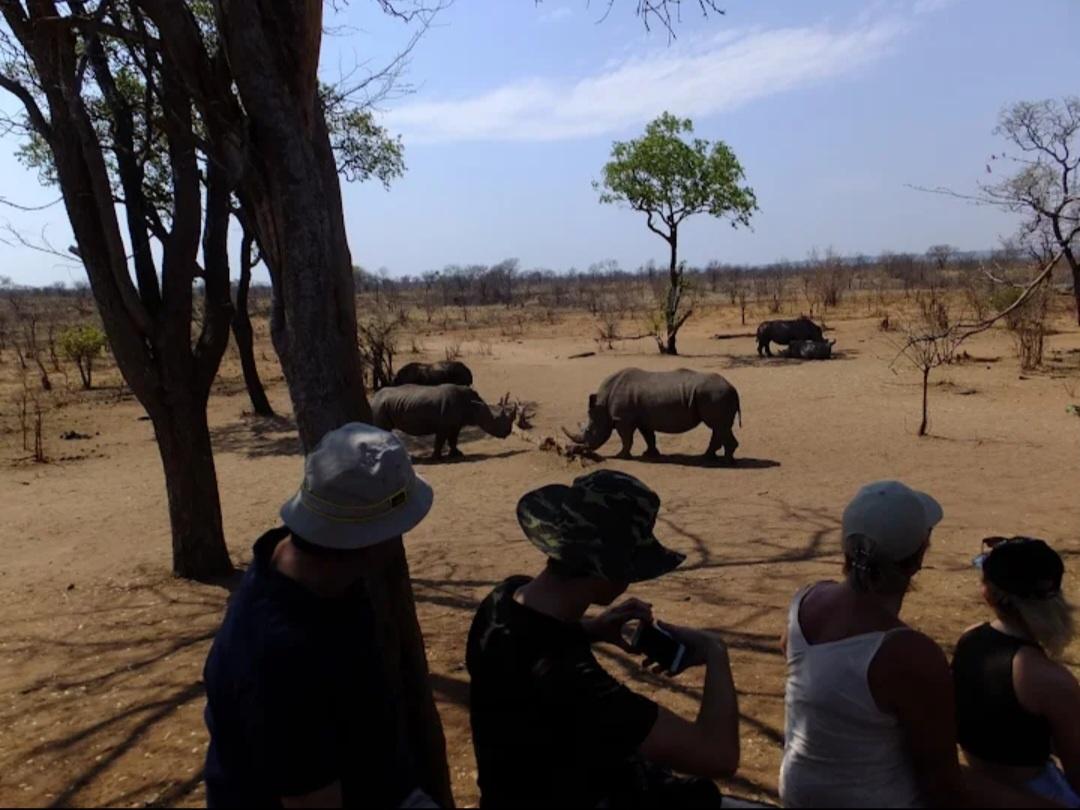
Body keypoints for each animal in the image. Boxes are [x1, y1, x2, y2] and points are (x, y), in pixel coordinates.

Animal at [371, 384, 517, 460]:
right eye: (495, 420)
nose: (508, 432)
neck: (473, 405)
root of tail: (374, 397)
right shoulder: (443, 426)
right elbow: (440, 440)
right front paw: (436, 458)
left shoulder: (456, 424)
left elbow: (453, 439)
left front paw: (457, 454)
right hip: (380, 405)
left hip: (384, 405)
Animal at [563, 368, 742, 462]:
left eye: (589, 431)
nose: (572, 449)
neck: (603, 404)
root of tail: (733, 387)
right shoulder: (642, 419)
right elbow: (648, 436)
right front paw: (649, 454)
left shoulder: (623, 419)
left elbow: (626, 438)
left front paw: (621, 456)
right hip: (716, 395)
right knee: (719, 427)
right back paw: (708, 457)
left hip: (715, 395)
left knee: (718, 426)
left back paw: (725, 461)